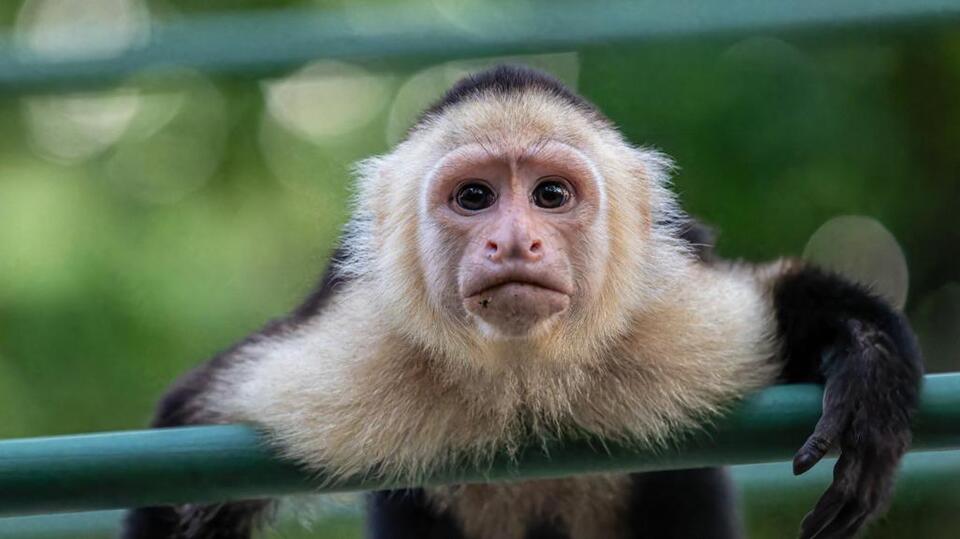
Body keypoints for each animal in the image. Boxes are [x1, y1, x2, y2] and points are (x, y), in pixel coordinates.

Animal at [122, 65, 922, 539]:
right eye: (475, 197)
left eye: (551, 195)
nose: (513, 241)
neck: (523, 380)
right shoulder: (351, 356)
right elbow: (193, 423)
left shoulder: (674, 321)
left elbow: (777, 303)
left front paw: (866, 371)